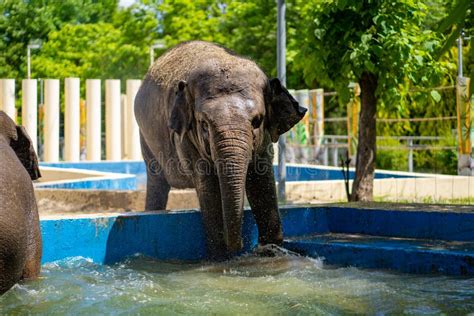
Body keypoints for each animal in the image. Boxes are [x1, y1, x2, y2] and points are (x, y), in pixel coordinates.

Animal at [135, 41, 306, 260]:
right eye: (204, 124)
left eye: (257, 121)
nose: (241, 245)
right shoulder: (186, 139)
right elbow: (209, 187)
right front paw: (220, 257)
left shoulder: (265, 137)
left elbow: (261, 180)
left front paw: (272, 250)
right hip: (146, 138)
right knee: (157, 181)